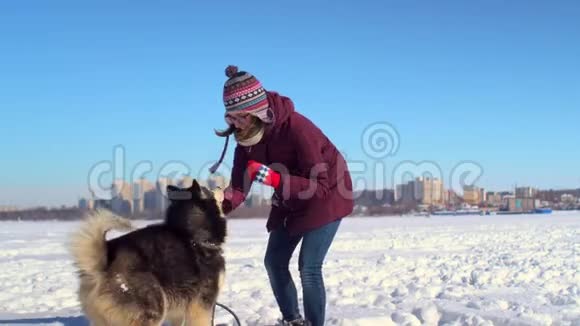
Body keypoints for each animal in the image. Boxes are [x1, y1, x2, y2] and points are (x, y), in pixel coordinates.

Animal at [69, 181, 228, 326]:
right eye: (208, 189)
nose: (220, 186)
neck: (194, 236)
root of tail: (104, 261)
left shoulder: (178, 312)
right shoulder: (202, 305)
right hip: (153, 309)